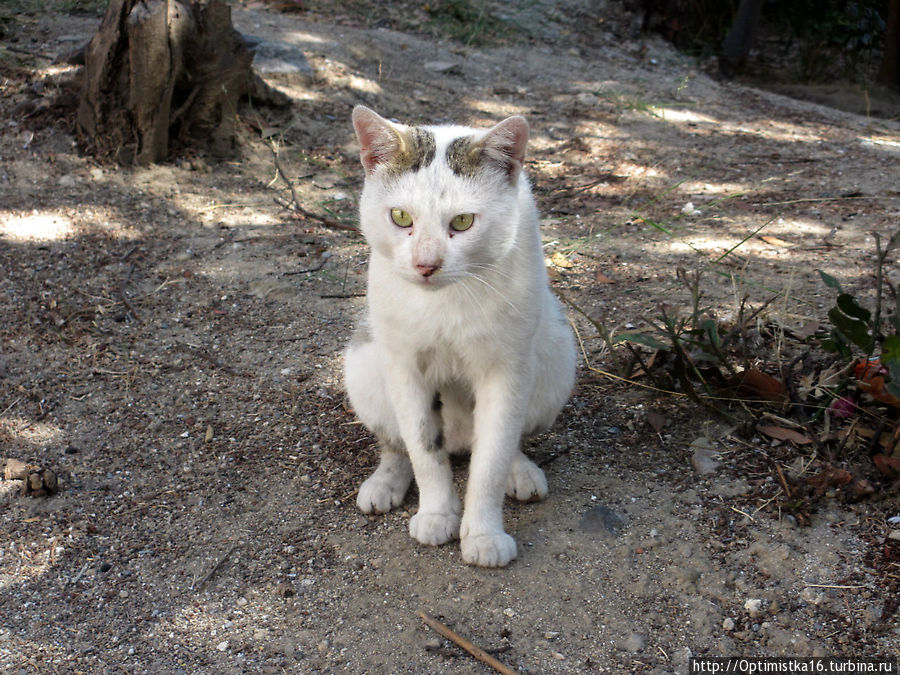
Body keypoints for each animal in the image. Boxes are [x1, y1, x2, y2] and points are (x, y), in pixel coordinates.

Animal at [344, 105, 576, 568]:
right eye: (401, 217)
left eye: (463, 222)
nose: (426, 264)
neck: (446, 300)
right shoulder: (404, 366)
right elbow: (423, 447)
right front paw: (437, 514)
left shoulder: (507, 369)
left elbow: (492, 459)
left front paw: (484, 534)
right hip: (363, 365)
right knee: (397, 442)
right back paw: (386, 482)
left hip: (557, 358)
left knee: (506, 440)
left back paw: (520, 471)